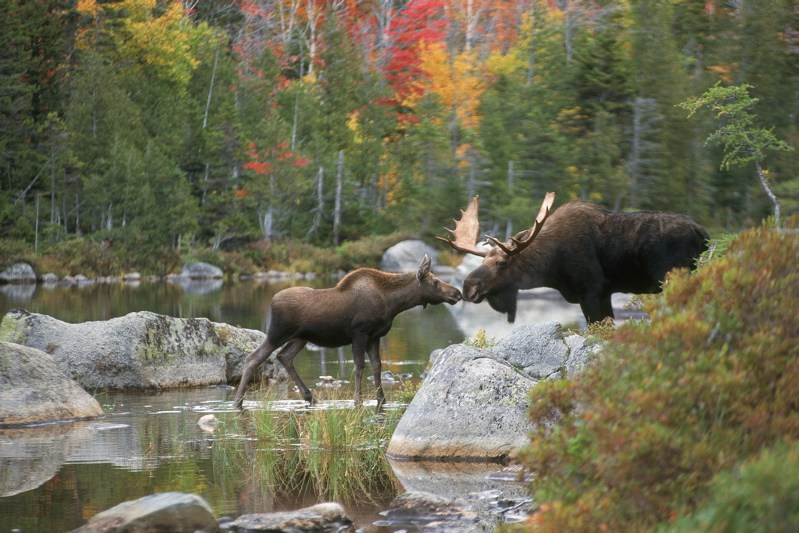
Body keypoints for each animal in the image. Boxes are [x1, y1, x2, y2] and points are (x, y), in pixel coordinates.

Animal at [232, 255, 462, 411]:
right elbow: (359, 367)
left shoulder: (375, 336)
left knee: (284, 356)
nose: (457, 293)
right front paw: (358, 400)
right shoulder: (360, 333)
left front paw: (381, 399)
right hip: (278, 332)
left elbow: (377, 366)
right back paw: (237, 401)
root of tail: (272, 302)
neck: (393, 304)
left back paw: (310, 396)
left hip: (300, 338)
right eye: (435, 282)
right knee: (254, 357)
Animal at [438, 192, 709, 325]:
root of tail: (702, 233)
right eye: (482, 261)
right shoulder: (604, 293)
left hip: (675, 277)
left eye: (502, 264)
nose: (468, 286)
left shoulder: (591, 291)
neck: (551, 269)